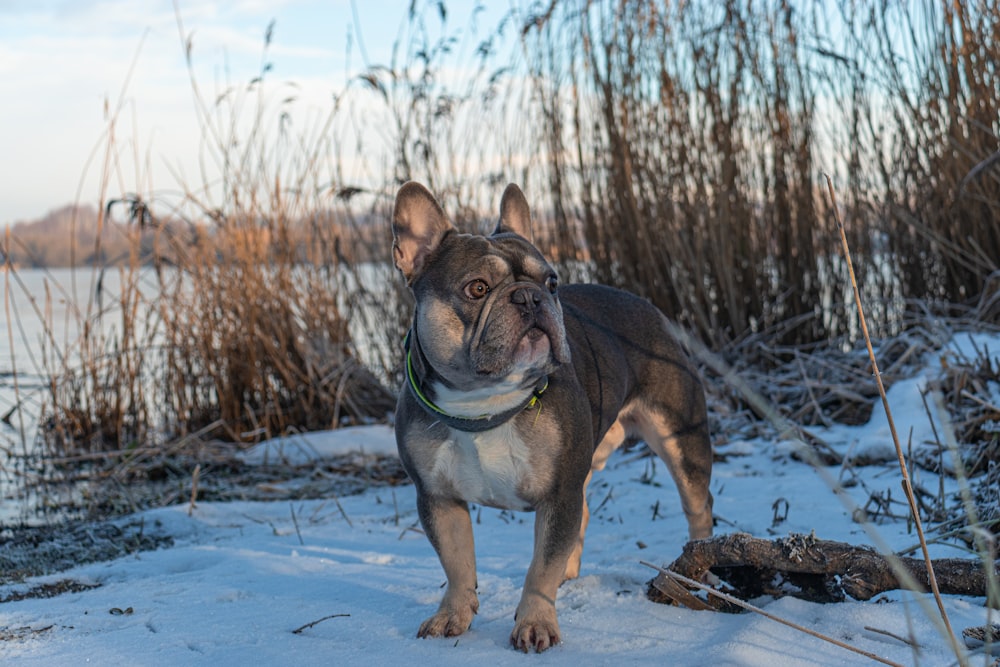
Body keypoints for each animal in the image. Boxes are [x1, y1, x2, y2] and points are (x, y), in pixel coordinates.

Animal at [388, 181, 712, 652]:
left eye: (552, 281)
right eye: (477, 288)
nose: (529, 296)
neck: (485, 401)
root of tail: (648, 307)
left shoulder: (559, 494)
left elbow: (541, 566)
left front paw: (535, 623)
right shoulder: (437, 497)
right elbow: (456, 562)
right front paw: (453, 615)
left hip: (681, 438)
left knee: (698, 508)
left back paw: (701, 572)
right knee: (586, 515)